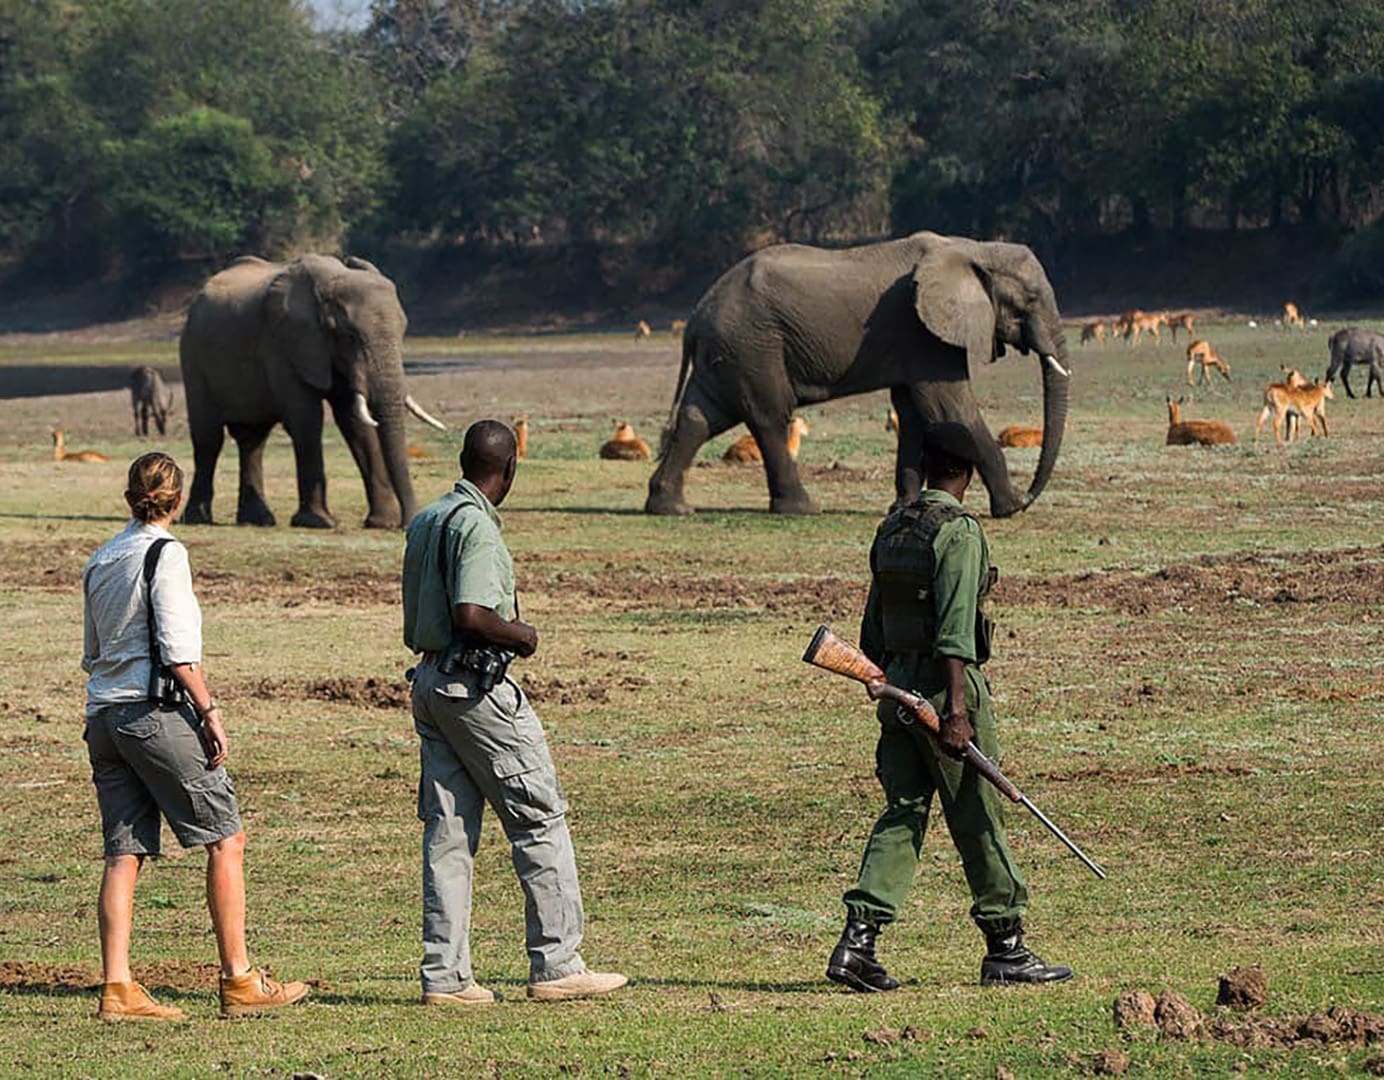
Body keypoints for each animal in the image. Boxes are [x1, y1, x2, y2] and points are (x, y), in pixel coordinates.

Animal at [179, 254, 445, 529]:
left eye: (403, 332)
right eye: (349, 335)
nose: (408, 522)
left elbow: (355, 423)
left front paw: (382, 523)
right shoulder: (284, 344)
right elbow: (307, 419)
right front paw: (319, 521)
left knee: (253, 439)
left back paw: (257, 520)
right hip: (192, 357)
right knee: (209, 439)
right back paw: (198, 519)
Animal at [645, 231, 1071, 518]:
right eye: (1031, 300)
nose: (1029, 495)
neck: (973, 247)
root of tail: (695, 317)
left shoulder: (914, 340)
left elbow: (912, 412)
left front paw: (903, 507)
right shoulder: (923, 332)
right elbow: (950, 409)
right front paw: (1011, 508)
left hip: (729, 353)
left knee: (700, 417)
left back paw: (669, 507)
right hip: (753, 346)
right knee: (769, 416)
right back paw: (802, 509)